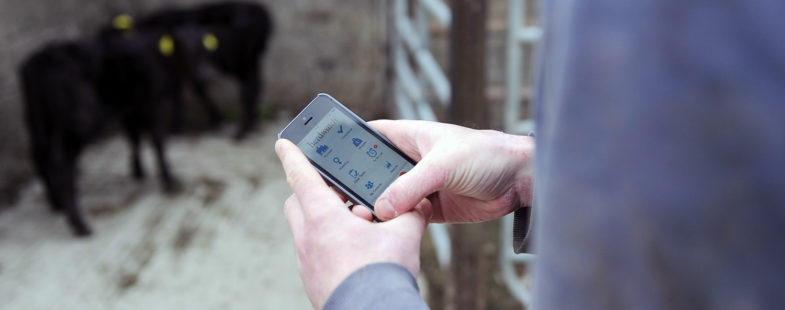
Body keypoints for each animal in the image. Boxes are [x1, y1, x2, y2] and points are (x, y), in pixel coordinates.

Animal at [18, 39, 179, 237]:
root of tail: (40, 59)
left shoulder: (130, 109)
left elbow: (134, 137)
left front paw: (138, 171)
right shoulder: (151, 103)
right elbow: (158, 142)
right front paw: (170, 181)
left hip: (37, 122)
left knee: (39, 157)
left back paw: (57, 204)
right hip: (78, 121)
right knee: (61, 164)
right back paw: (79, 224)